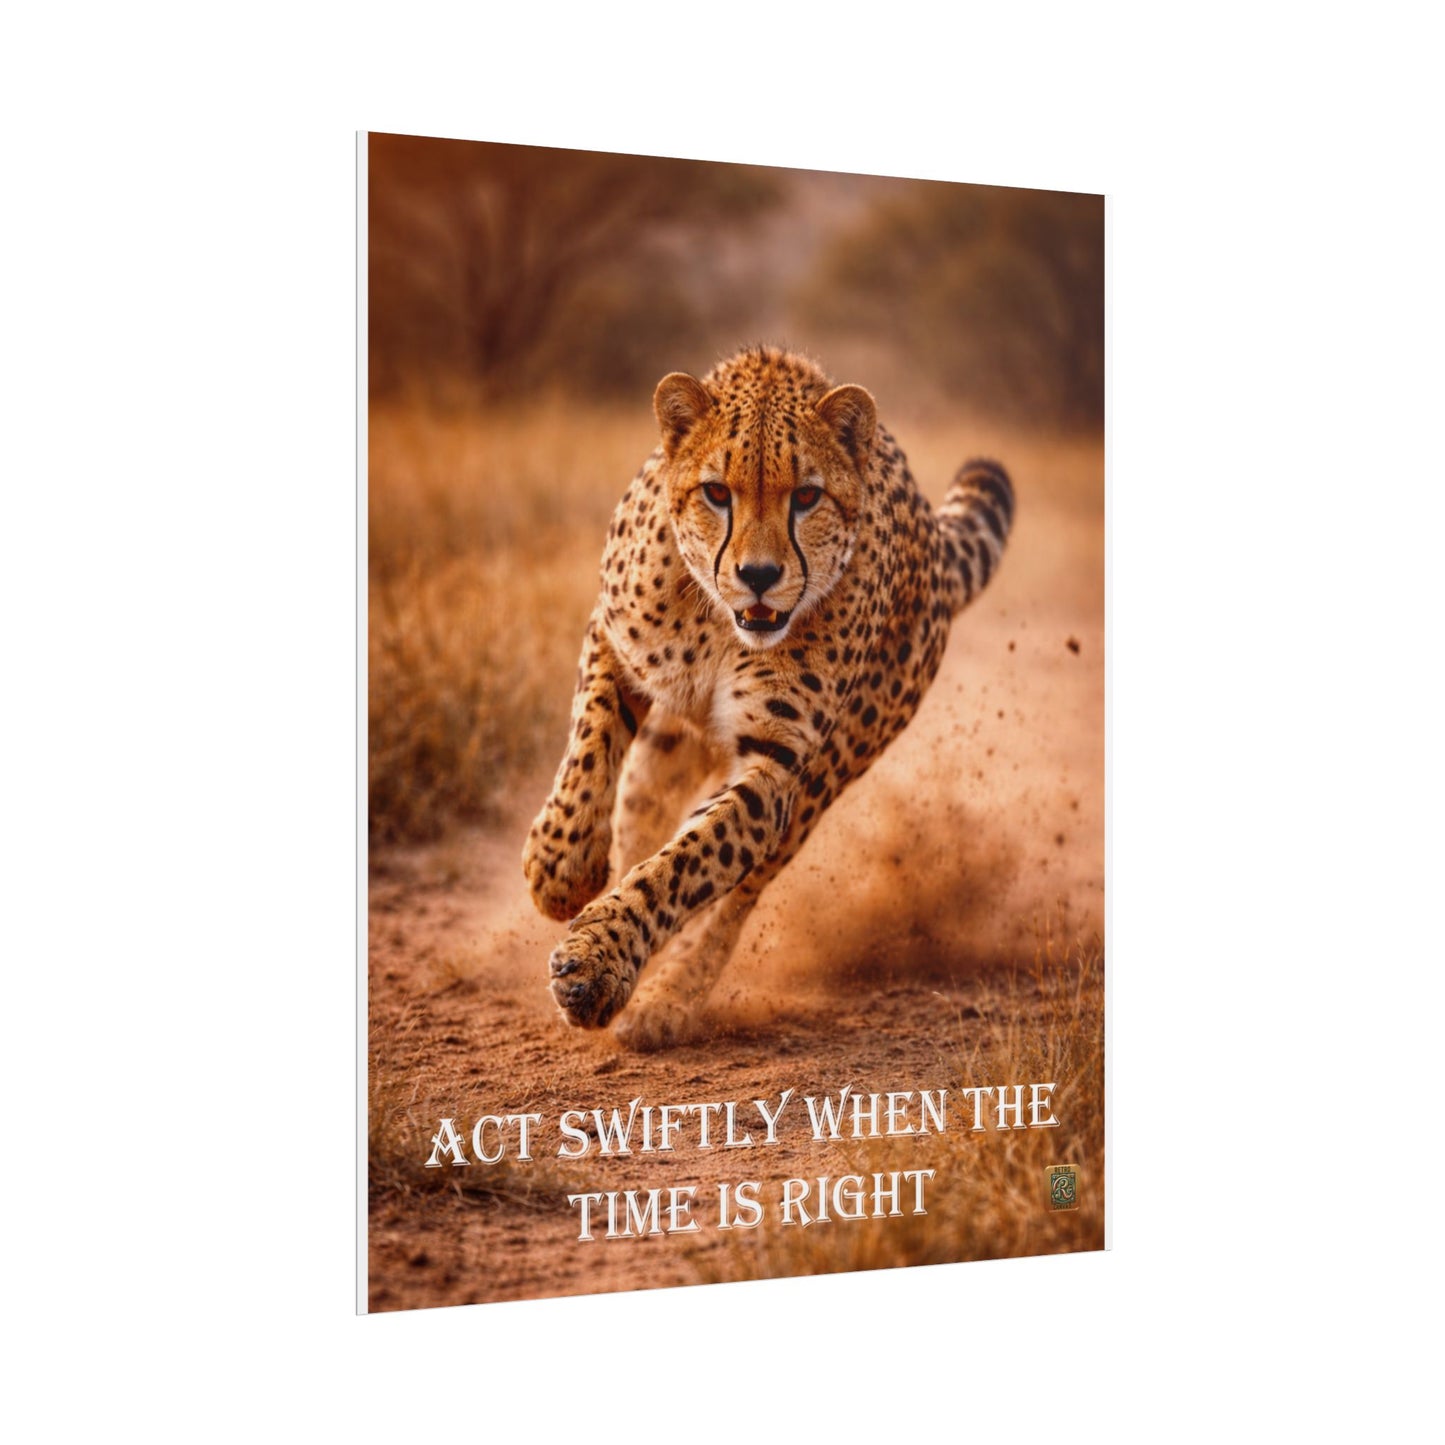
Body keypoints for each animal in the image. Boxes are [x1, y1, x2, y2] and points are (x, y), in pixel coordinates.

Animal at [521, 344, 1013, 1051]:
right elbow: (587, 753)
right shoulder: (614, 640)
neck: (718, 623)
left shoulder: (775, 765)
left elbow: (688, 864)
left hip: (827, 773)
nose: (758, 576)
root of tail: (931, 533)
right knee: (641, 814)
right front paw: (561, 869)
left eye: (806, 496)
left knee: (738, 894)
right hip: (669, 753)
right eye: (716, 493)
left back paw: (668, 997)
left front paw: (598, 959)